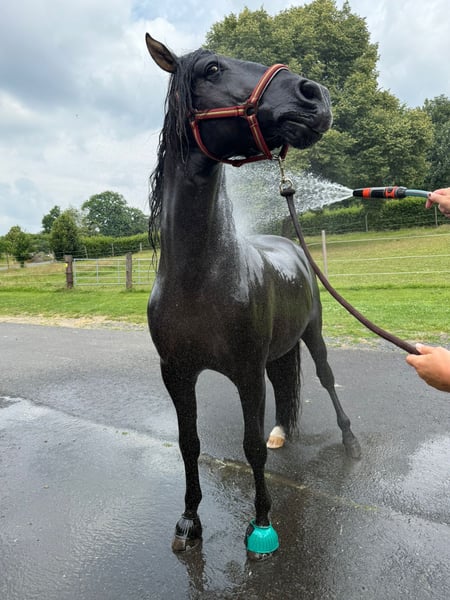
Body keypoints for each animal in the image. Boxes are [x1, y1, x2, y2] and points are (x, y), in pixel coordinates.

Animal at [145, 32, 361, 560]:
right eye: (212, 69)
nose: (315, 96)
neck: (202, 278)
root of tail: (290, 245)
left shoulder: (245, 373)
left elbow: (250, 447)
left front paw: (261, 524)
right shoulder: (176, 374)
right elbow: (189, 442)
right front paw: (189, 521)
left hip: (313, 335)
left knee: (325, 379)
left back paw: (350, 442)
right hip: (277, 351)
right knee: (285, 385)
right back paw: (284, 431)